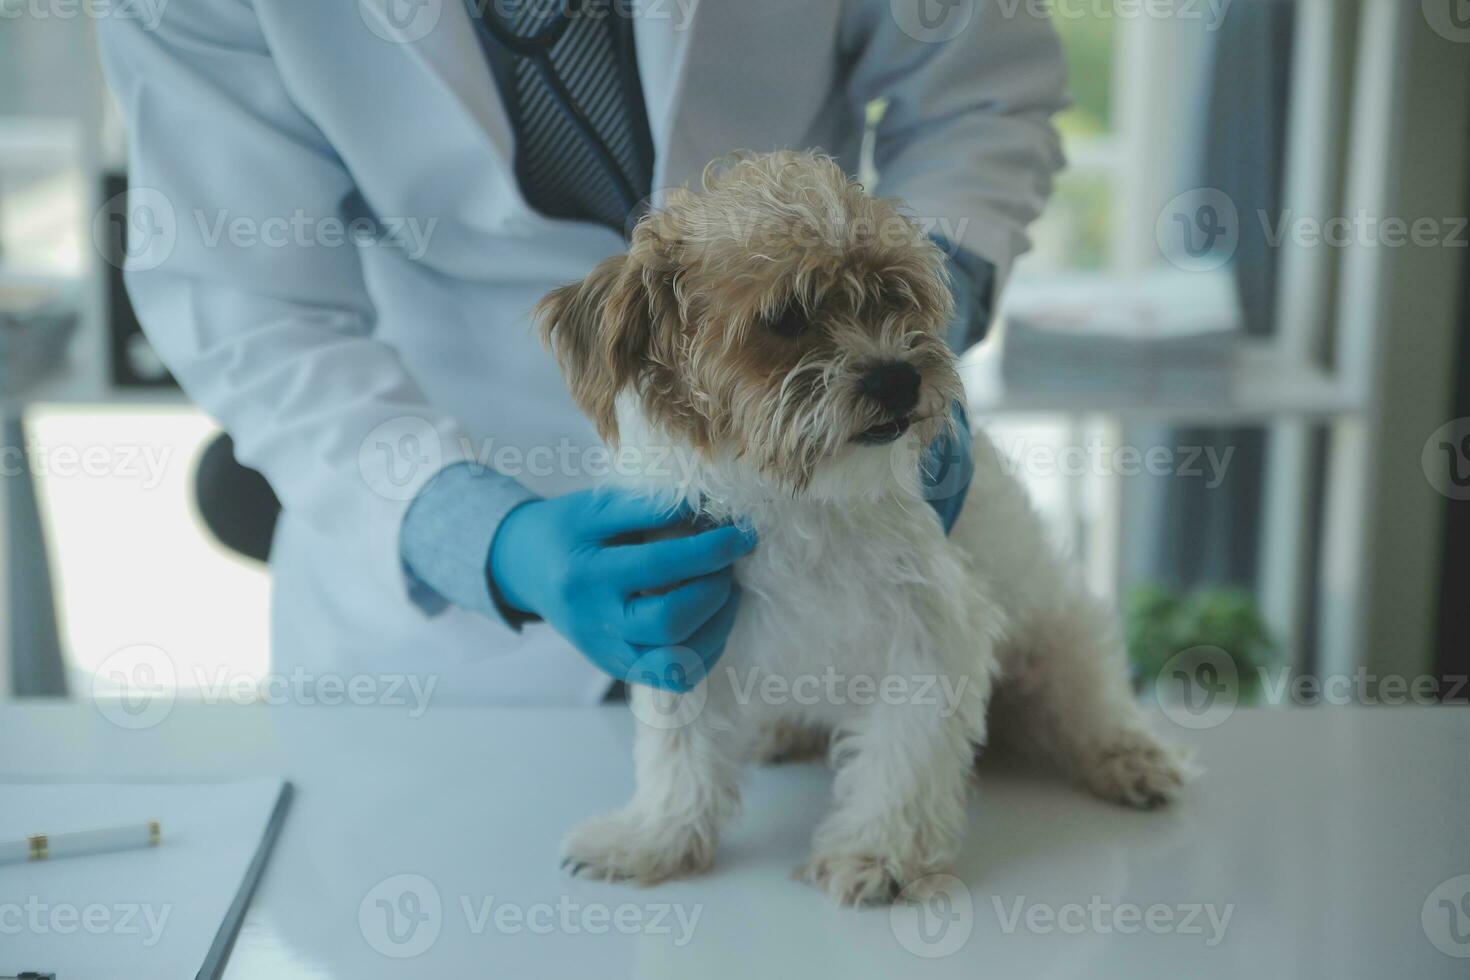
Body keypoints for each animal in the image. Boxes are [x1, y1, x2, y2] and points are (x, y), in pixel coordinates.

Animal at [535, 149, 1187, 910]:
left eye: (894, 298)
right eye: (787, 316)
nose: (899, 378)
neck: (789, 500)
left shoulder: (931, 633)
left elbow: (903, 760)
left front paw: (877, 854)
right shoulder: (683, 616)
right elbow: (678, 754)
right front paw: (654, 840)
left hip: (1062, 643)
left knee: (1093, 707)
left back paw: (1133, 759)